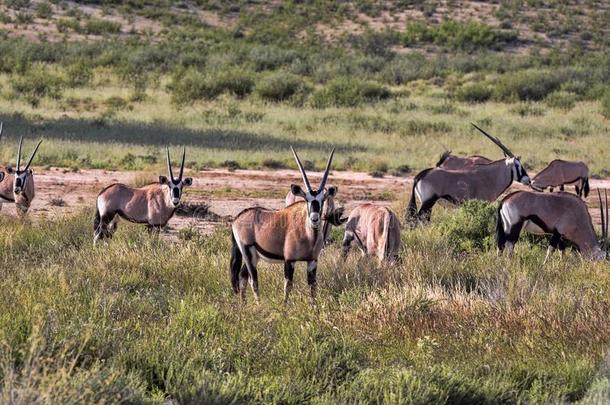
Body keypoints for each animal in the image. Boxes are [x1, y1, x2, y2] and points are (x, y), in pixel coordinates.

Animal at [229, 146, 344, 304]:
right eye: (307, 199)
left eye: (322, 200)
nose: (314, 219)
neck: (309, 235)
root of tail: (237, 218)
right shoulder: (289, 260)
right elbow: (288, 286)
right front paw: (285, 307)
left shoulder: (312, 261)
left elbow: (312, 286)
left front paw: (314, 307)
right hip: (247, 252)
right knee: (253, 281)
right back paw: (258, 305)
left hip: (253, 256)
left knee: (242, 276)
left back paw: (244, 304)